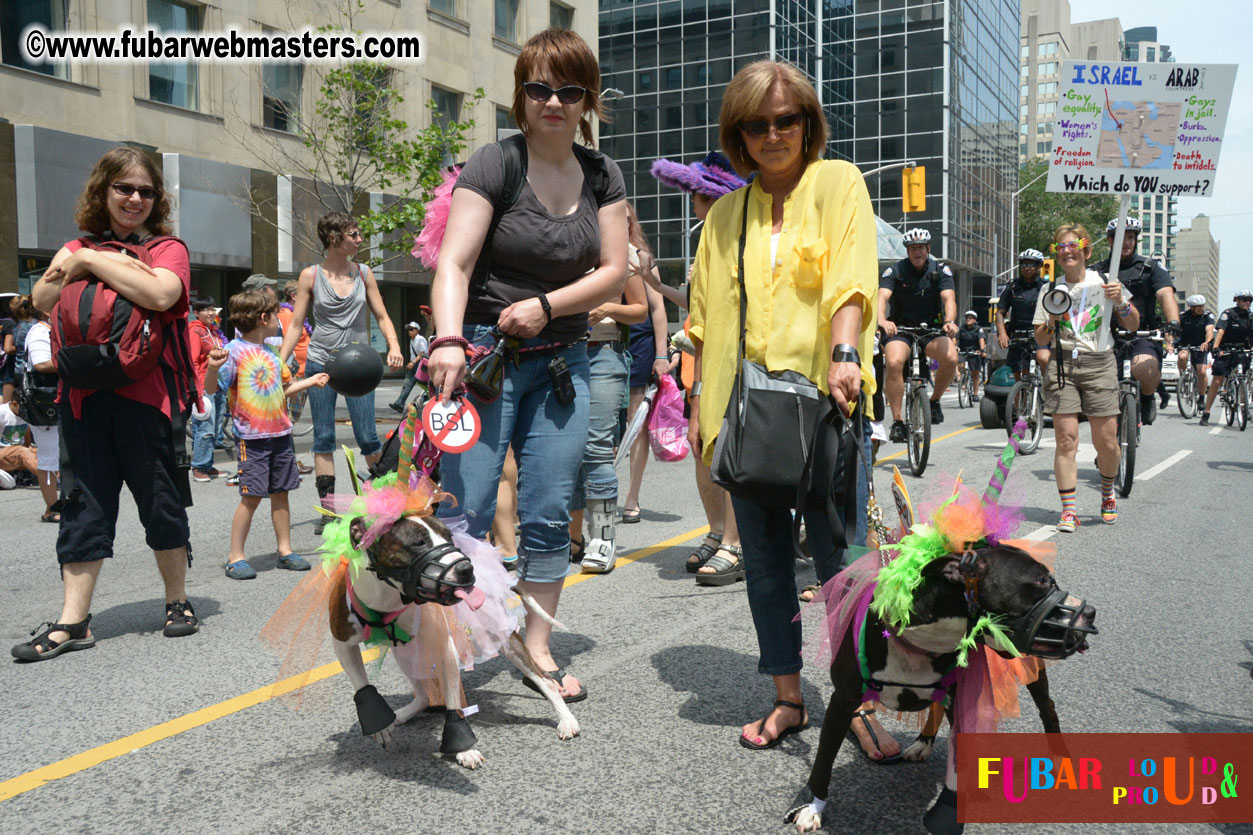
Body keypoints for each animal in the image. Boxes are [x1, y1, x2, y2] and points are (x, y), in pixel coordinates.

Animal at [323, 514, 576, 767]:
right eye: (418, 542)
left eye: (448, 536)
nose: (466, 569)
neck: (388, 598)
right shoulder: (342, 643)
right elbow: (361, 683)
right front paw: (378, 723)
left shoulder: (445, 649)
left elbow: (454, 701)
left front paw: (463, 748)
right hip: (405, 653)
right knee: (423, 695)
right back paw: (401, 715)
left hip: (501, 636)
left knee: (546, 680)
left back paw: (566, 720)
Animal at [791, 544, 1097, 827]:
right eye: (1041, 581)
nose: (1091, 612)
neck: (925, 642)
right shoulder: (843, 700)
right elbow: (823, 760)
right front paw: (812, 806)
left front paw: (950, 807)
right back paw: (923, 742)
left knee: (1047, 706)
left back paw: (1059, 758)